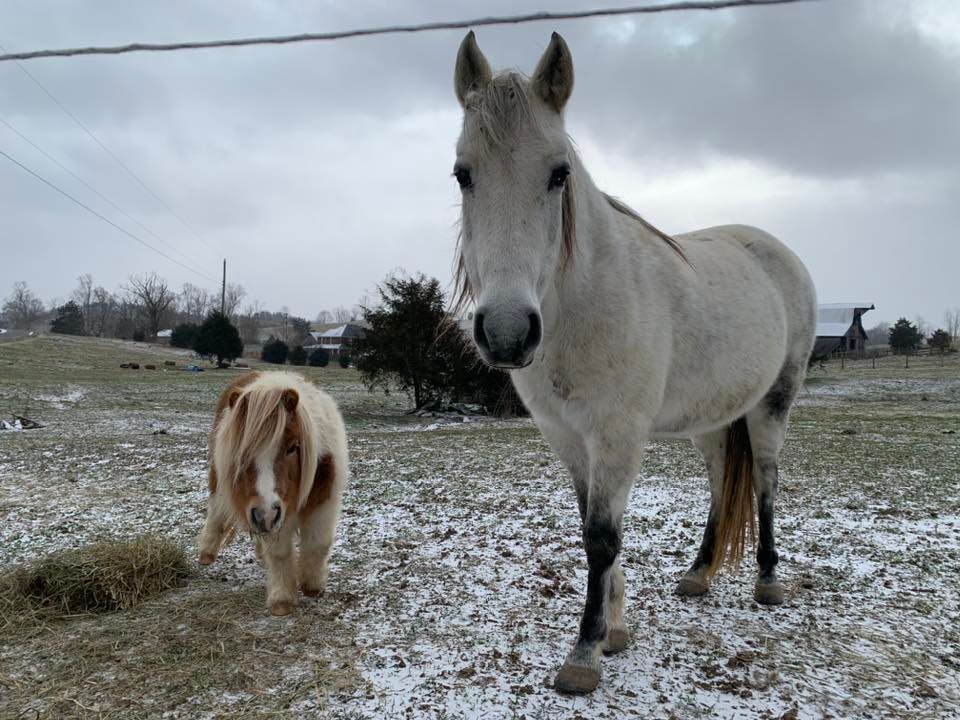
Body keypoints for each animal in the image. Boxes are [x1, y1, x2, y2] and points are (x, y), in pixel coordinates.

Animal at [197, 371, 349, 616]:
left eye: (293, 447)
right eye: (242, 453)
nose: (265, 514)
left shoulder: (324, 500)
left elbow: (318, 543)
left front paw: (313, 585)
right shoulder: (277, 513)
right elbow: (279, 553)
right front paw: (282, 600)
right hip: (221, 484)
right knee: (217, 514)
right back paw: (207, 554)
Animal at [451, 31, 816, 694]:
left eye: (559, 174)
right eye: (464, 174)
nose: (508, 332)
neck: (584, 306)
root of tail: (777, 251)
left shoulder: (617, 434)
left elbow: (601, 537)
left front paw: (585, 653)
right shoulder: (568, 437)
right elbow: (593, 527)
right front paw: (617, 632)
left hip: (773, 405)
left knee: (767, 478)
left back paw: (769, 583)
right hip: (711, 418)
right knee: (721, 478)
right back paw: (698, 575)